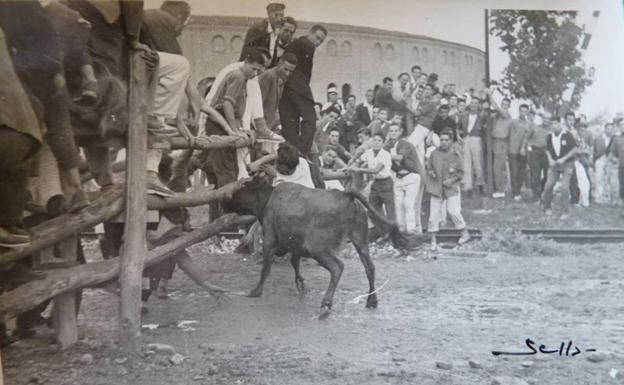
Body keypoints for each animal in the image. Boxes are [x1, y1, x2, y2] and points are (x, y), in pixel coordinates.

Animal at [225, 177, 414, 316]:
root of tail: (346, 195)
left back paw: (326, 304)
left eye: (241, 189)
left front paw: (256, 291)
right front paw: (301, 284)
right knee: (370, 267)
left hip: (318, 248)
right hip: (360, 240)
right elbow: (294, 262)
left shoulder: (270, 238)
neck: (268, 199)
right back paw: (371, 301)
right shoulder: (296, 245)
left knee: (338, 267)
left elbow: (266, 268)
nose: (225, 202)